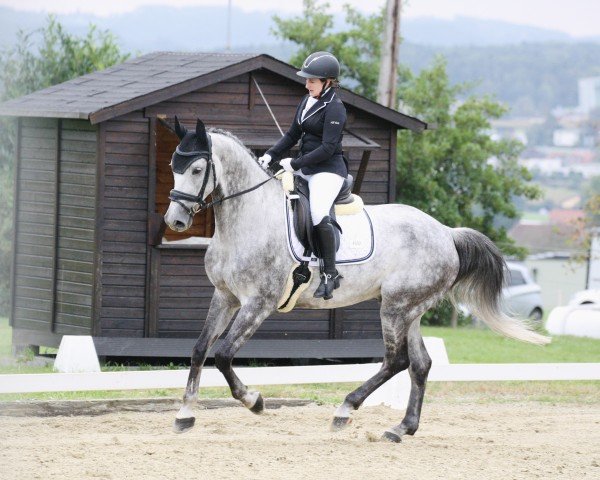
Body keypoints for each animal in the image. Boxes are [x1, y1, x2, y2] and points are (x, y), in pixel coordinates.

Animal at [163, 119, 548, 442]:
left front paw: (254, 401)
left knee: (396, 362)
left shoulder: (259, 303)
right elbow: (199, 349)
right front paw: (184, 415)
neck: (248, 218)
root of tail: (446, 233)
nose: (175, 221)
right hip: (409, 310)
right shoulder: (224, 297)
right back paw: (401, 428)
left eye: (197, 169)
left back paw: (345, 410)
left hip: (395, 308)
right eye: (172, 167)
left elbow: (224, 355)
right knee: (420, 364)